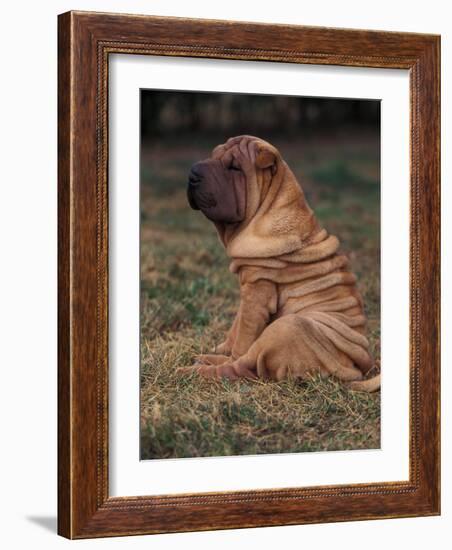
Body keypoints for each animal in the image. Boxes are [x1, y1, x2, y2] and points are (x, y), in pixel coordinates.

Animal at [180, 135, 382, 392]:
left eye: (234, 167)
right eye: (213, 156)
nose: (192, 173)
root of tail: (357, 369)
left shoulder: (257, 291)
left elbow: (243, 336)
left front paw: (225, 355)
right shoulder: (248, 288)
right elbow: (236, 327)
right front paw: (222, 348)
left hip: (288, 327)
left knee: (242, 367)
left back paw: (193, 371)